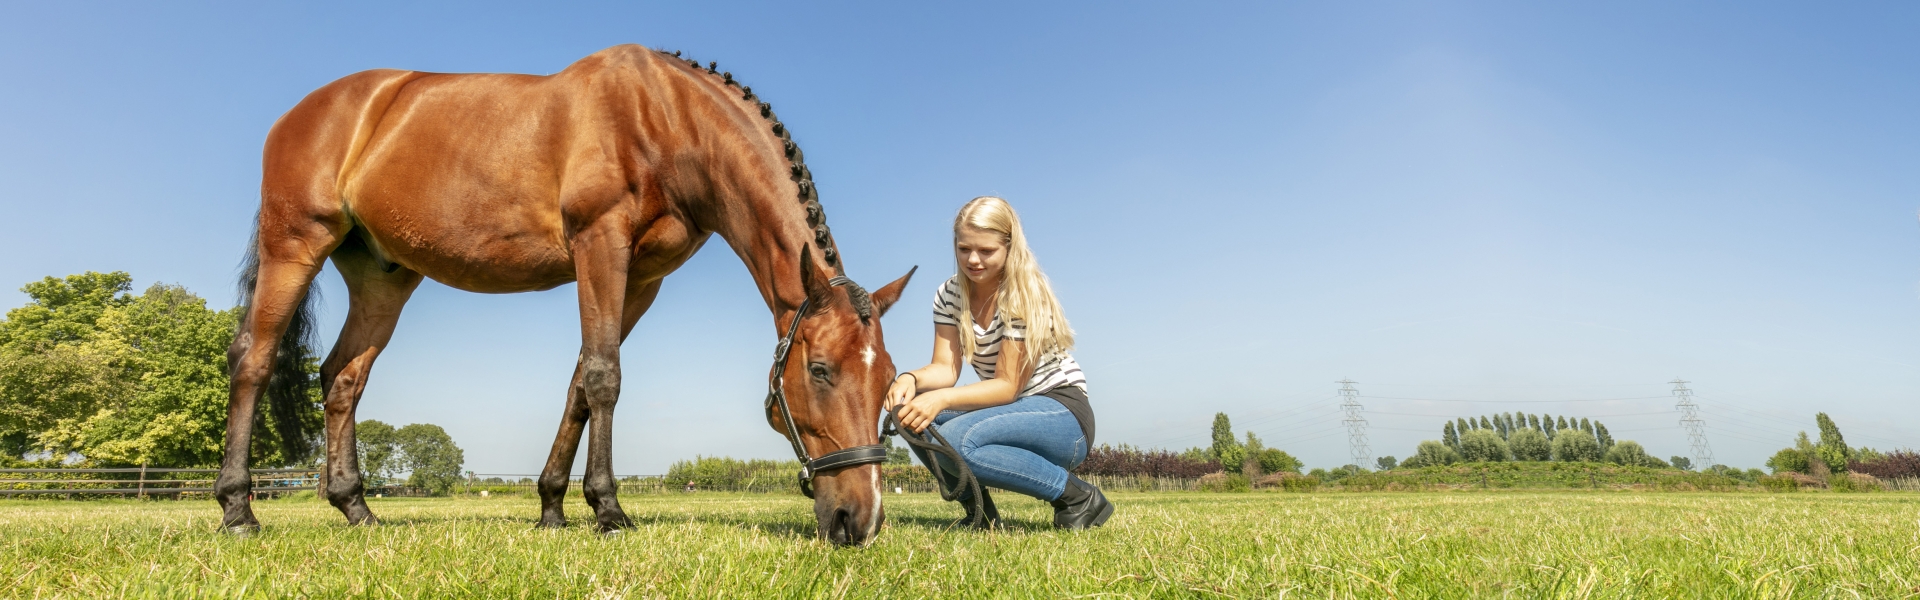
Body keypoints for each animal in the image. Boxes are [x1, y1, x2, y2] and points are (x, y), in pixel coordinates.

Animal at [216, 44, 914, 545]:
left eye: (888, 383)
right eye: (819, 370)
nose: (861, 521)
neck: (669, 119)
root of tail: (307, 111)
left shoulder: (641, 280)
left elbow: (581, 381)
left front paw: (553, 505)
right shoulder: (599, 245)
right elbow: (605, 376)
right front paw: (607, 509)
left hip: (383, 279)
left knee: (342, 379)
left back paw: (356, 508)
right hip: (295, 245)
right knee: (253, 359)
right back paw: (238, 511)